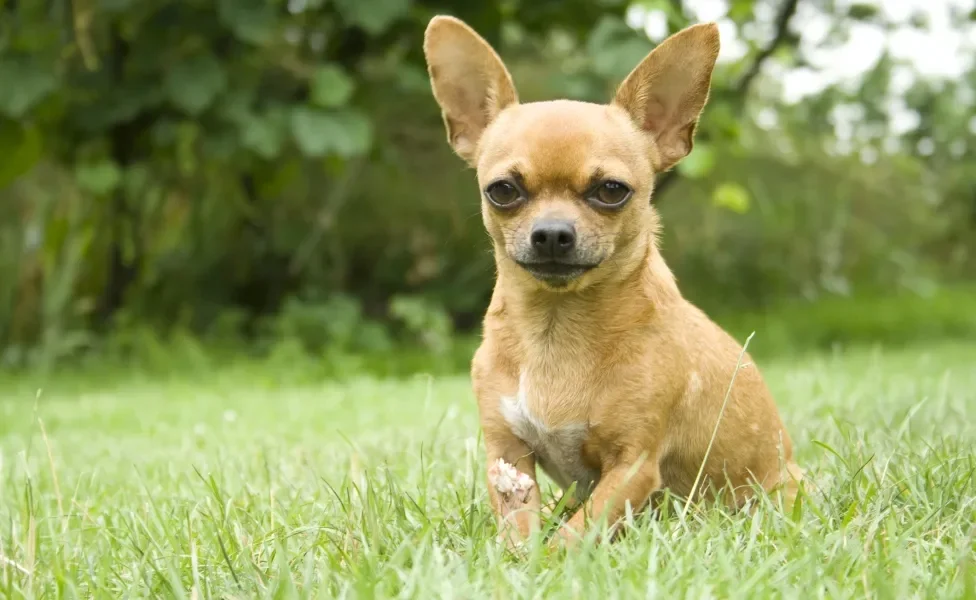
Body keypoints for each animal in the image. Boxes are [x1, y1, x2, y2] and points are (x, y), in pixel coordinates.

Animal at [420, 15, 800, 548]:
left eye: (611, 190)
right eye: (503, 191)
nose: (552, 233)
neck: (556, 330)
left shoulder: (632, 467)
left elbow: (573, 538)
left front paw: (550, 560)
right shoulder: (507, 456)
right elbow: (521, 532)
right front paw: (519, 556)